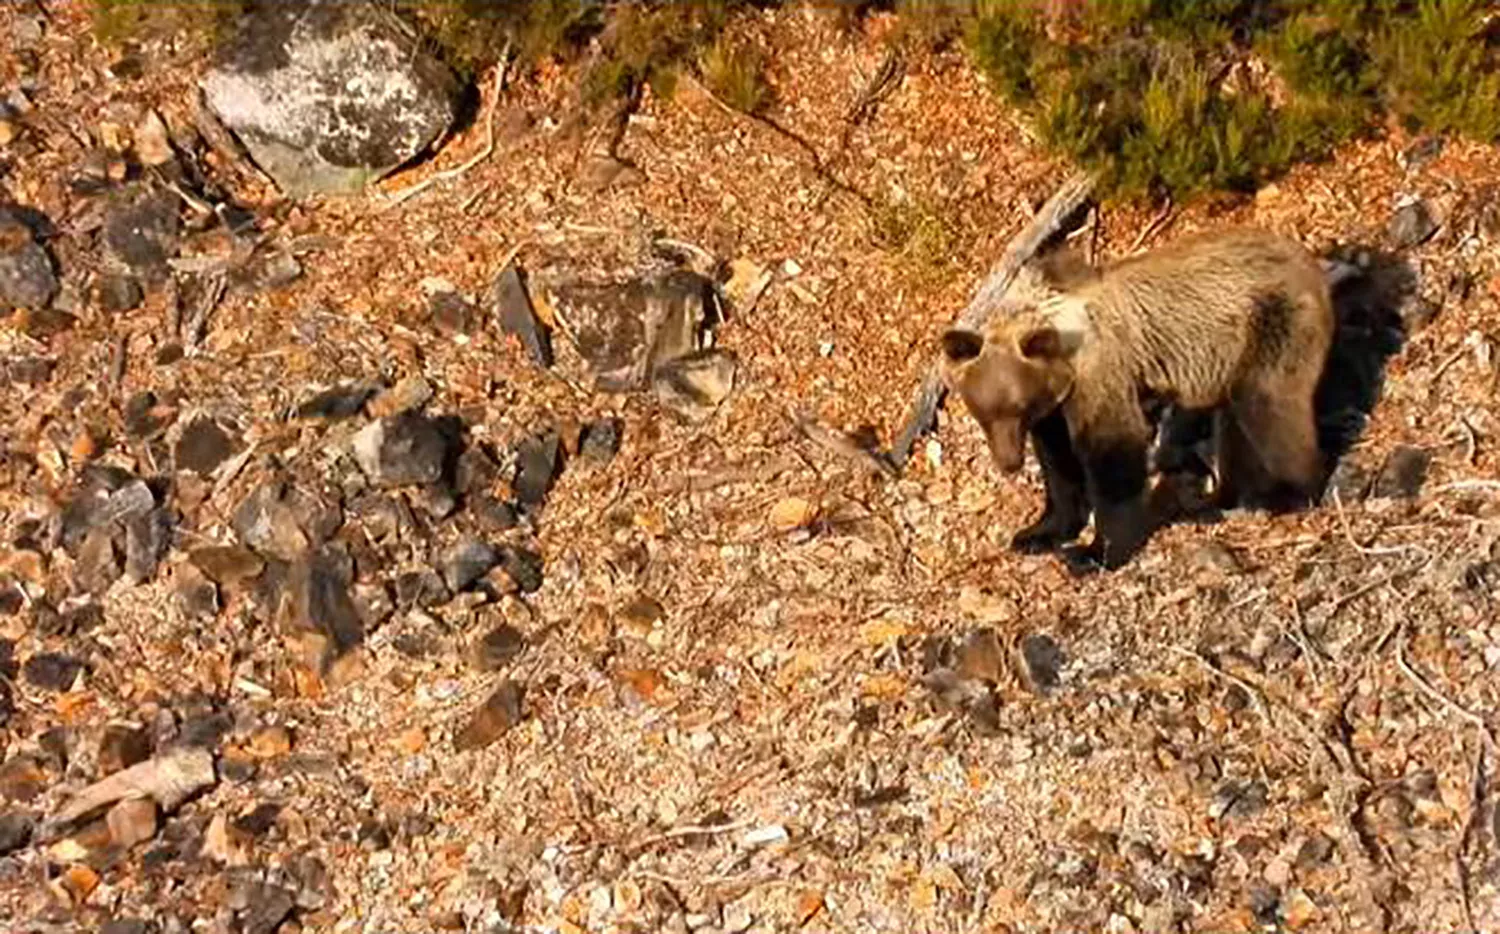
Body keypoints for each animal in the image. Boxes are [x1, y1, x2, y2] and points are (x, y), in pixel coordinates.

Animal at [936, 226, 1338, 569]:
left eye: (1017, 407)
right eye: (984, 412)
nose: (1009, 462)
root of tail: (1309, 262)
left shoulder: (1099, 371)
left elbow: (1111, 449)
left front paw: (1094, 552)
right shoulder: (1053, 407)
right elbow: (1058, 463)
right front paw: (1037, 533)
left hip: (1272, 325)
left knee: (1272, 409)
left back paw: (1288, 494)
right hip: (1234, 359)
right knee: (1236, 428)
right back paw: (1213, 501)